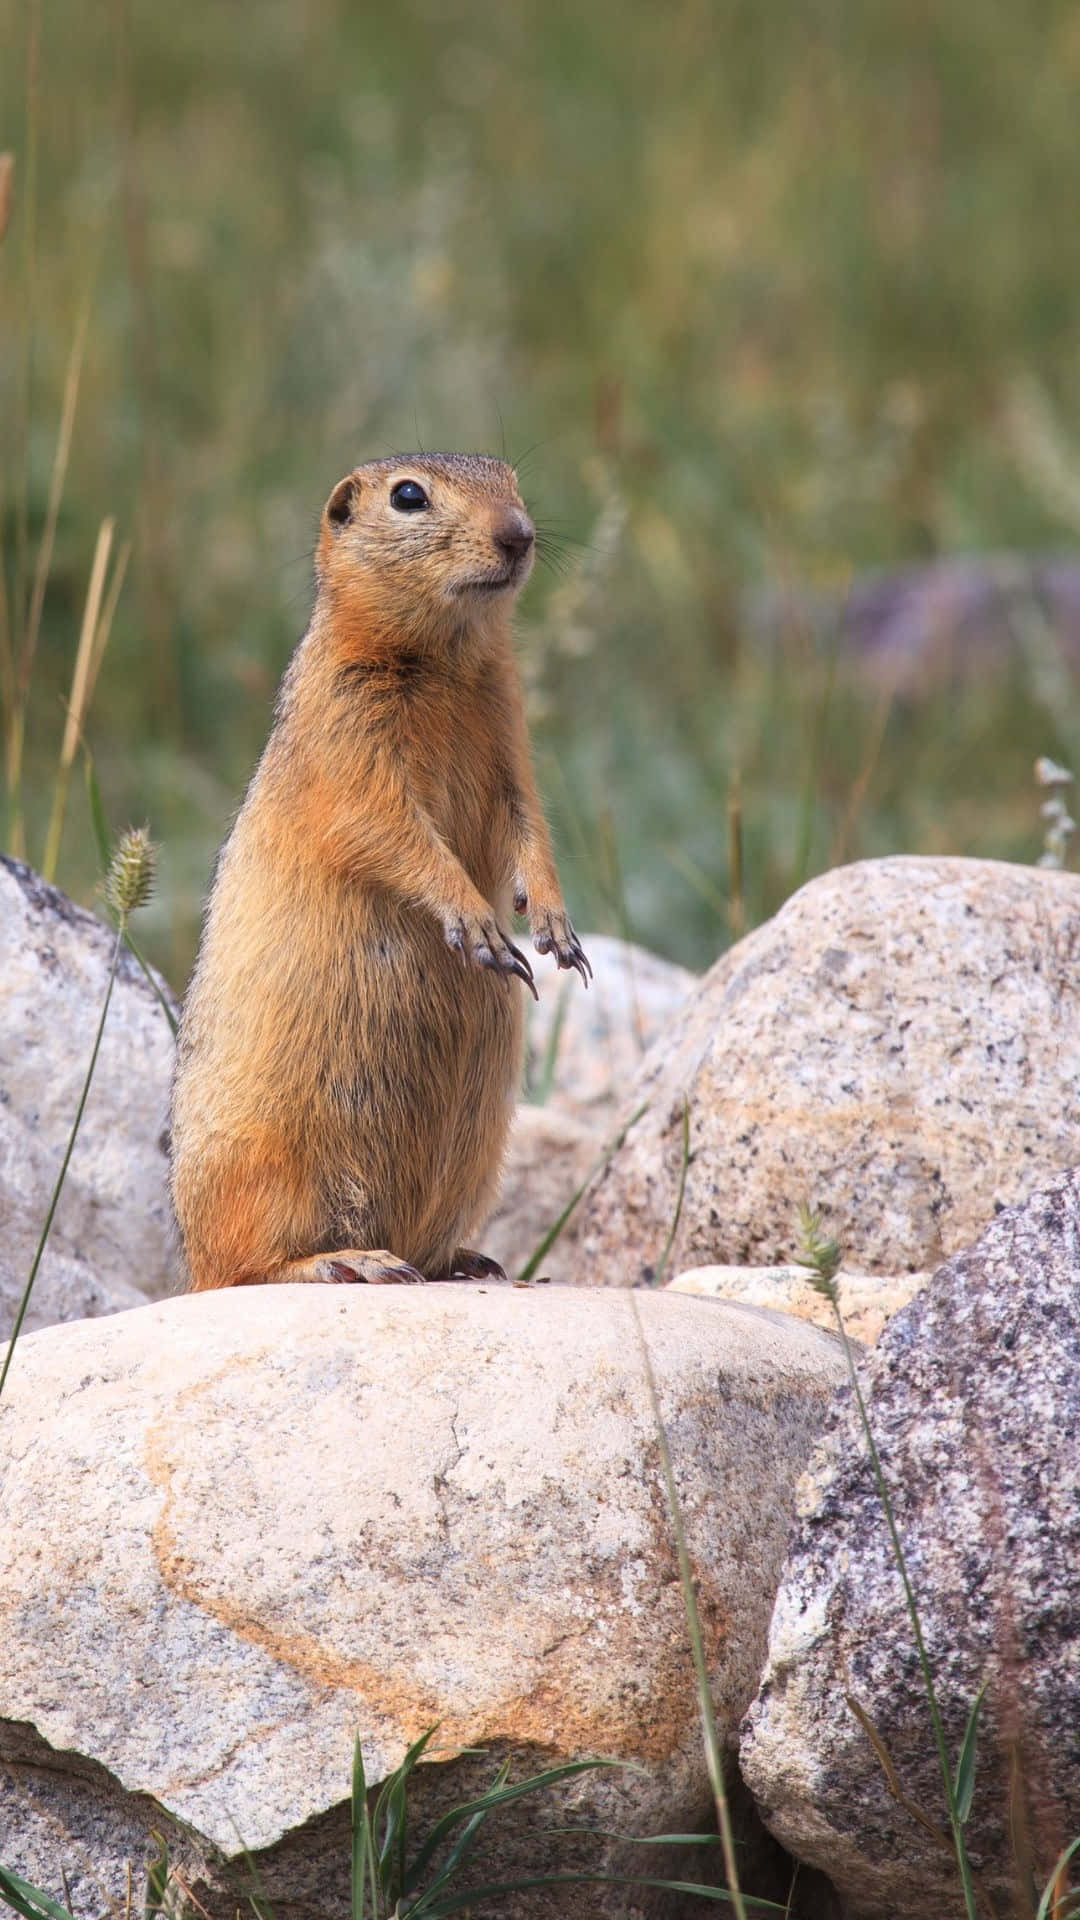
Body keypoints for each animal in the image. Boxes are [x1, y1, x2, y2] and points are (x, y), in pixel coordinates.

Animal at [170, 451, 588, 1290]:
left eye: (511, 479)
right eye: (408, 496)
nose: (519, 534)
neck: (447, 662)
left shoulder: (511, 739)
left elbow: (529, 826)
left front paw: (557, 926)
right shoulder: (347, 739)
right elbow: (394, 833)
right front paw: (479, 925)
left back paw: (467, 1260)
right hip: (266, 1168)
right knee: (244, 1270)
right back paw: (350, 1259)